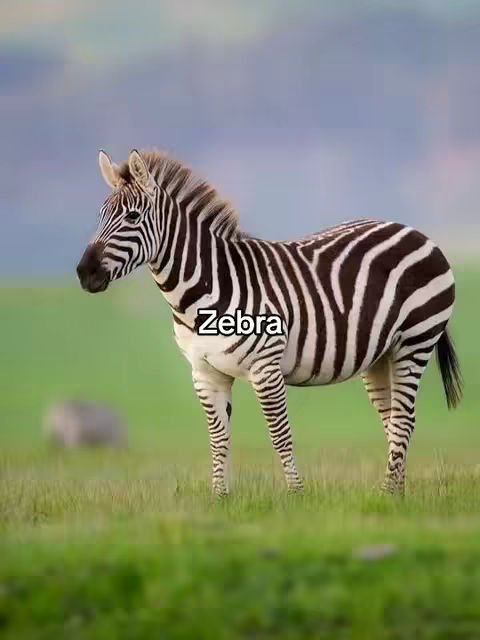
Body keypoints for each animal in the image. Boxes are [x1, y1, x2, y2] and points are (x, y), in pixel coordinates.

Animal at [77, 149, 463, 497]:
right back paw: (394, 494)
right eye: (100, 215)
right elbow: (218, 439)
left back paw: (388, 493)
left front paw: (296, 495)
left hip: (414, 343)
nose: (84, 273)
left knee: (404, 419)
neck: (200, 293)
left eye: (132, 216)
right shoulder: (205, 373)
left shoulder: (265, 368)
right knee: (394, 420)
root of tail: (414, 231)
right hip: (380, 356)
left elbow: (279, 435)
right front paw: (220, 498)